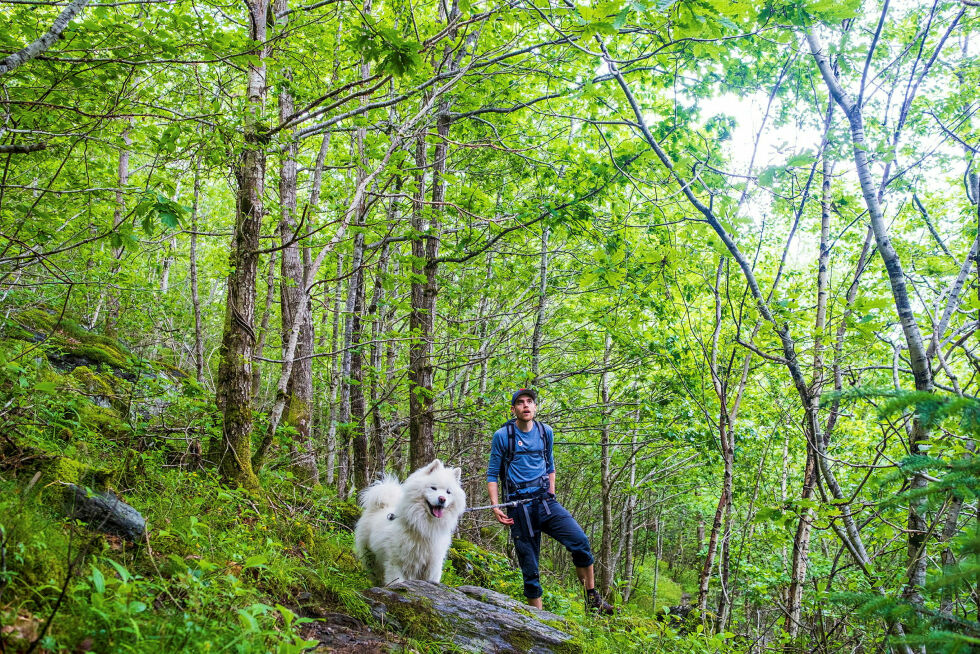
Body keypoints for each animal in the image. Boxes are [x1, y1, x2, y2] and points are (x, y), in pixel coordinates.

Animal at [356, 458, 468, 588]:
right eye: (433, 488)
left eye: (448, 492)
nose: (442, 499)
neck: (424, 526)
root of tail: (382, 505)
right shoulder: (396, 563)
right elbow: (397, 581)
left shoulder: (432, 564)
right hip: (371, 558)